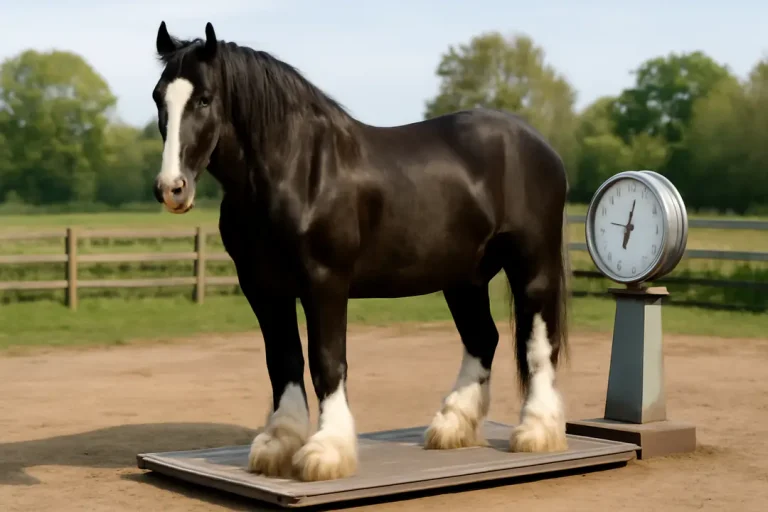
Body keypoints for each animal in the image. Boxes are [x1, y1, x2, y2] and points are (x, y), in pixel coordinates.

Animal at [150, 21, 572, 482]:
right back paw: (452, 424)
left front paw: (327, 450)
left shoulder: (324, 282)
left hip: (532, 265)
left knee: (538, 342)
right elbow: (282, 361)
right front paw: (279, 443)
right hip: (465, 277)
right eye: (158, 97)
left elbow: (326, 361)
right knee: (483, 338)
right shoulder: (263, 289)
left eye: (205, 99)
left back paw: (537, 430)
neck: (296, 169)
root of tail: (540, 146)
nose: (171, 188)